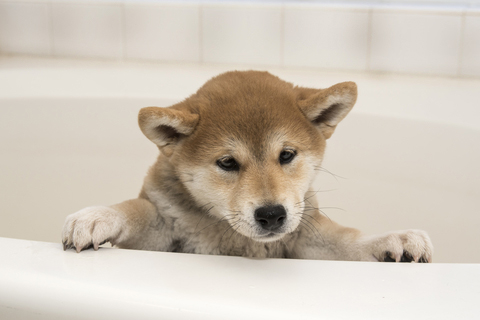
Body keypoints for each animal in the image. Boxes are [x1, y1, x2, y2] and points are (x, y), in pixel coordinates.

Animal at [62, 70, 434, 262]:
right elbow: (133, 209)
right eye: (227, 162)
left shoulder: (305, 236)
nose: (272, 214)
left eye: (287, 155)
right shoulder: (162, 229)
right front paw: (94, 217)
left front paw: (395, 239)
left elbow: (349, 239)